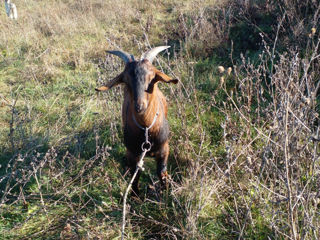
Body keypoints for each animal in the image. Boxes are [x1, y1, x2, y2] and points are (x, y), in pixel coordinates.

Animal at [96, 47, 179, 195]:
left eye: (153, 78)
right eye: (125, 80)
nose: (139, 106)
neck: (146, 130)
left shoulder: (164, 149)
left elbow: (161, 171)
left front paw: (165, 192)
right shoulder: (131, 152)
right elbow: (135, 174)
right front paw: (135, 195)